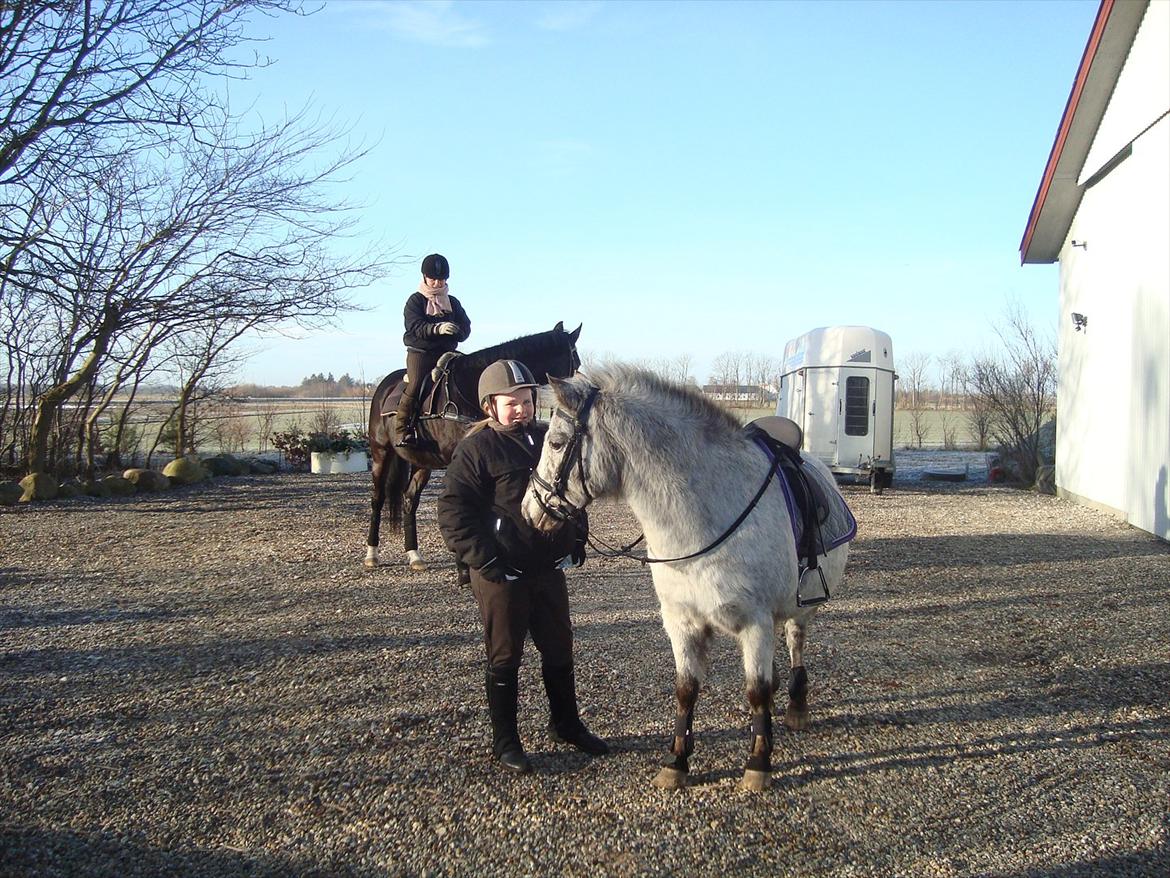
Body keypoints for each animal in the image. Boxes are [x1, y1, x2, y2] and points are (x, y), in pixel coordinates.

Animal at [364, 322, 582, 571]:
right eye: (576, 362)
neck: (469, 387)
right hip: (380, 452)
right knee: (378, 498)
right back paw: (372, 553)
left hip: (422, 463)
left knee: (409, 500)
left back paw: (414, 554)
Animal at [521, 365, 852, 792]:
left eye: (558, 443)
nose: (529, 510)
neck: (706, 516)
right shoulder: (682, 621)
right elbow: (686, 690)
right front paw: (677, 761)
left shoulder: (756, 623)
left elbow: (756, 692)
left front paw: (758, 763)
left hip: (802, 606)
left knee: (795, 641)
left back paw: (796, 706)